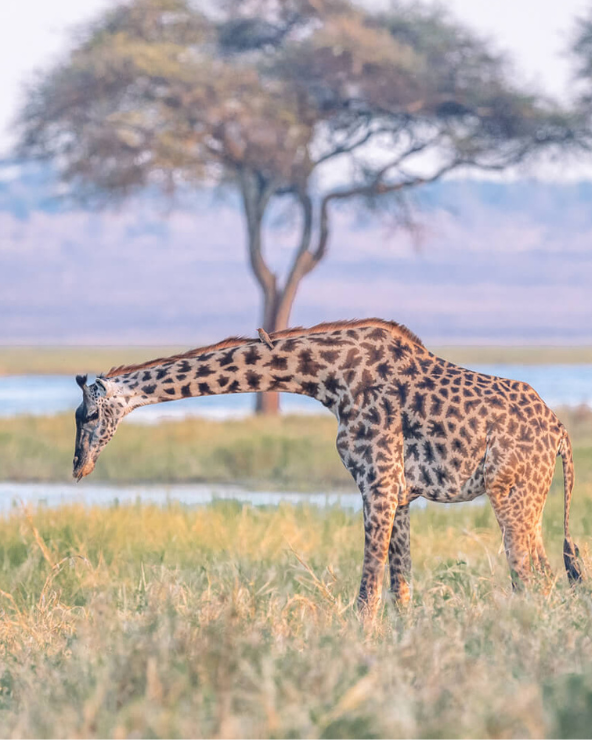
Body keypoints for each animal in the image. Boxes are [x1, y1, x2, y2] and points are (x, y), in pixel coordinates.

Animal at [73, 319, 582, 618]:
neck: (328, 378)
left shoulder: (377, 481)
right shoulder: (399, 493)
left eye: (89, 416)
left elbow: (366, 594)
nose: (78, 467)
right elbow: (400, 591)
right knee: (546, 577)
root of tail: (559, 431)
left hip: (512, 496)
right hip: (531, 500)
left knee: (531, 579)